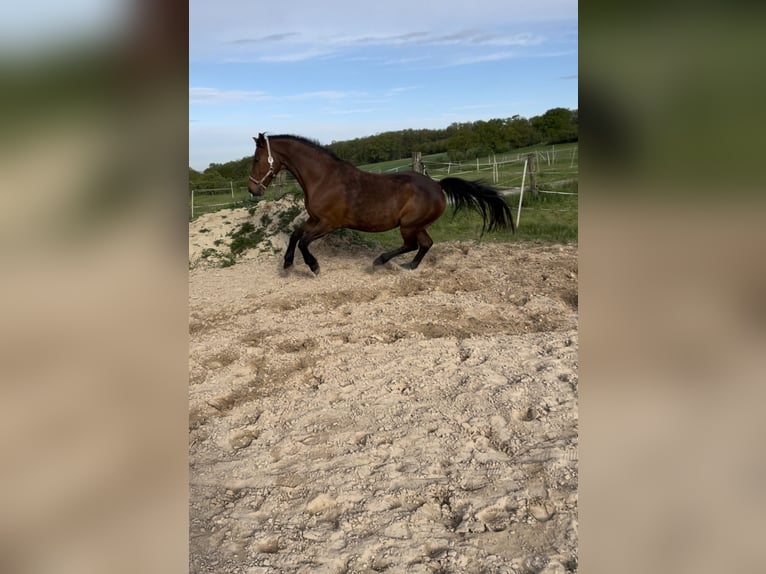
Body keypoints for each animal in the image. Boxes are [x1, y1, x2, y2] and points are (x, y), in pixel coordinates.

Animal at [249, 134, 520, 274]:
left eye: (256, 159)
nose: (253, 190)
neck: (324, 178)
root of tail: (437, 185)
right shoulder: (315, 219)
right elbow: (296, 235)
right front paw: (287, 264)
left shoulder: (328, 223)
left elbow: (304, 241)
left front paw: (314, 266)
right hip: (417, 225)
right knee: (425, 244)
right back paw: (410, 266)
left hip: (408, 225)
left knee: (412, 245)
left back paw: (380, 261)